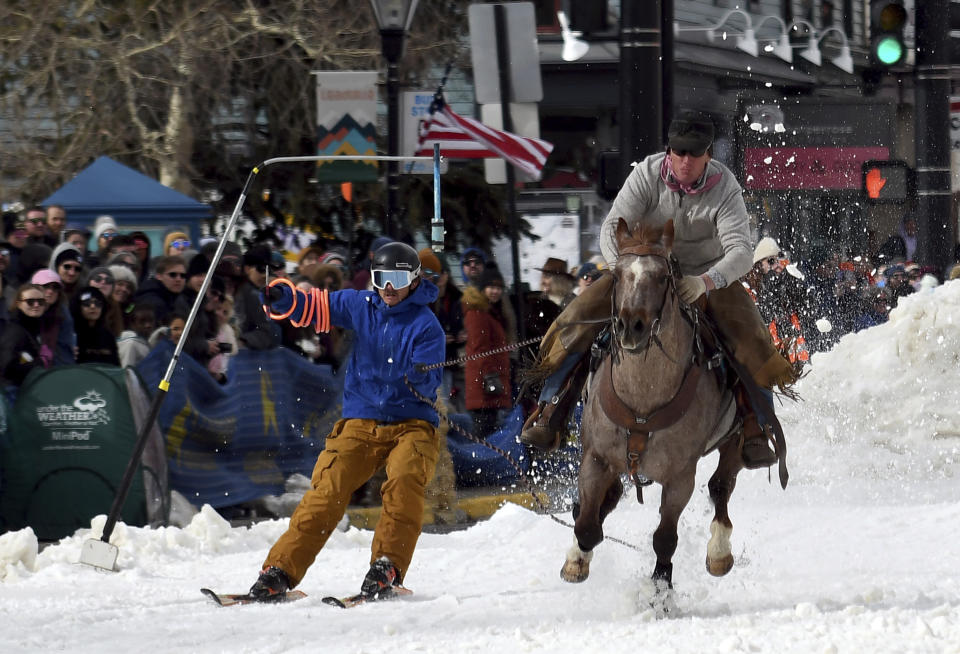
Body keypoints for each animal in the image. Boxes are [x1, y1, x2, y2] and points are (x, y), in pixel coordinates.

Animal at [564, 217, 752, 604]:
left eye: (664, 276)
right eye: (617, 274)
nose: (630, 326)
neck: (643, 398)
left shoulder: (680, 476)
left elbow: (665, 538)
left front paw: (660, 593)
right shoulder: (596, 458)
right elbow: (587, 524)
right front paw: (576, 559)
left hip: (736, 438)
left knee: (721, 486)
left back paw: (719, 552)